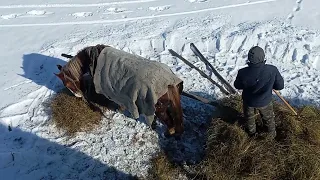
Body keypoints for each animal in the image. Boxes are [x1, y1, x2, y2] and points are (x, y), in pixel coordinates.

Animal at [54, 44, 185, 137]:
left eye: (67, 83)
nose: (78, 96)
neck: (92, 59)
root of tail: (169, 82)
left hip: (159, 109)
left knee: (170, 123)